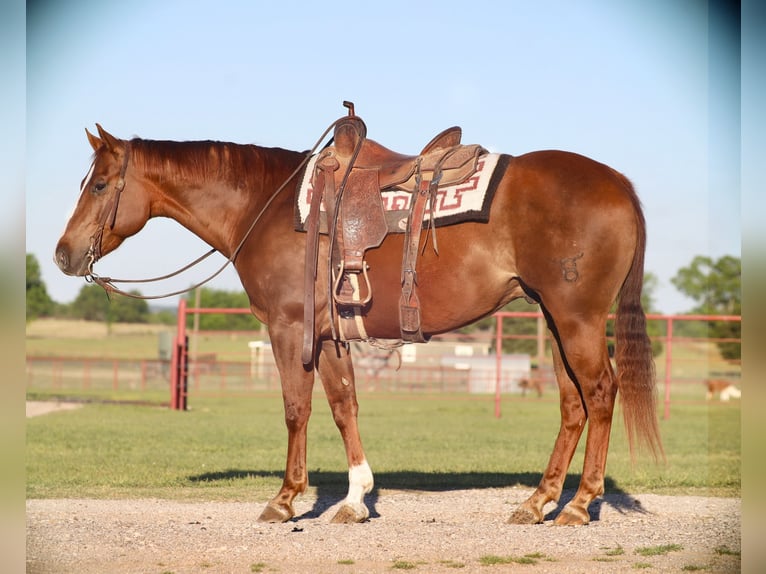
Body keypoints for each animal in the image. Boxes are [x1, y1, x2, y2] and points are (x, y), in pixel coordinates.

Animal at [55, 119, 662, 526]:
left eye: (100, 185)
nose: (63, 254)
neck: (264, 206)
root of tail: (618, 184)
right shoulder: (328, 337)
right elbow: (343, 405)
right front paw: (353, 499)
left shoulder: (289, 328)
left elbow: (296, 410)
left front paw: (284, 500)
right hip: (556, 320)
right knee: (572, 403)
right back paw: (537, 502)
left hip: (577, 318)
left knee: (600, 393)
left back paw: (579, 505)